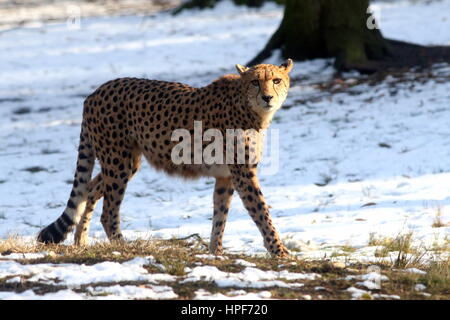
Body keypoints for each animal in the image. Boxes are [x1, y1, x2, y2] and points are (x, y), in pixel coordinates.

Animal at [37, 59, 294, 258]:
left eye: (276, 80)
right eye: (255, 82)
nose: (267, 97)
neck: (248, 106)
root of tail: (95, 92)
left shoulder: (226, 177)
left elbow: (220, 216)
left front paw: (216, 252)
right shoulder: (243, 173)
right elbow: (261, 211)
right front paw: (280, 252)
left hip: (127, 162)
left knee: (89, 188)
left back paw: (80, 241)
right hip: (118, 162)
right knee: (108, 212)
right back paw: (124, 246)